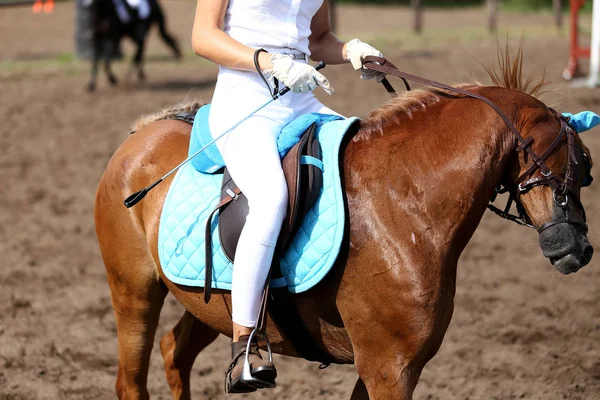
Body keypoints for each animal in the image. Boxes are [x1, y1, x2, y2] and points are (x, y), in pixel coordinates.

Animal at [95, 50, 596, 400]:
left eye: (585, 171)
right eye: (571, 165)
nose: (579, 248)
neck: (402, 202)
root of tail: (142, 135)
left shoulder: (392, 367)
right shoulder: (388, 368)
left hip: (211, 303)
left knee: (175, 353)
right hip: (135, 292)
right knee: (131, 379)